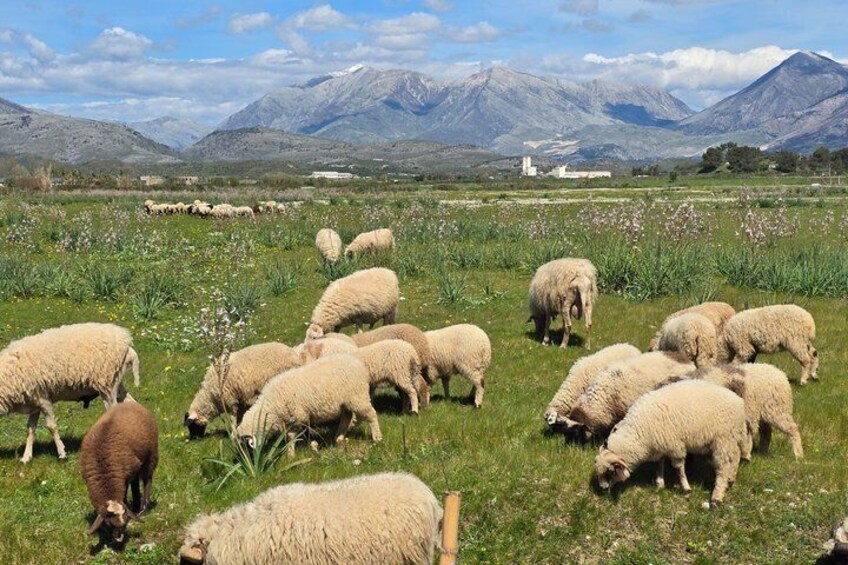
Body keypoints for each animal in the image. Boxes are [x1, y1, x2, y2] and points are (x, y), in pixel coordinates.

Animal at [0, 323, 140, 463]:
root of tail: (126, 342)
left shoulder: (43, 399)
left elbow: (51, 426)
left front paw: (62, 453)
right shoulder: (34, 401)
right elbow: (30, 429)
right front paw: (26, 457)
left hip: (107, 383)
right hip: (116, 382)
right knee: (131, 403)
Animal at [81, 401, 159, 543]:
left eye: (125, 523)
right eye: (109, 523)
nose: (119, 539)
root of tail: (130, 403)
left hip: (152, 454)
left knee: (147, 479)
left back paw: (143, 507)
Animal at [236, 354, 381, 454]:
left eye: (247, 443)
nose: (252, 458)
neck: (271, 405)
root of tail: (358, 363)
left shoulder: (298, 416)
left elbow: (292, 436)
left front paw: (297, 451)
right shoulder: (290, 419)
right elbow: (291, 437)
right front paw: (291, 454)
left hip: (357, 396)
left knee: (371, 414)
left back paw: (377, 437)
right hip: (345, 402)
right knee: (347, 417)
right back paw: (339, 438)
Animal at [595, 379, 750, 506]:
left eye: (610, 471)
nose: (602, 488)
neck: (639, 432)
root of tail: (739, 402)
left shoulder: (675, 445)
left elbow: (678, 467)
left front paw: (686, 488)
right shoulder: (661, 444)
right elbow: (659, 463)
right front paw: (659, 483)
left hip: (723, 439)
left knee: (723, 467)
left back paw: (716, 497)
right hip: (730, 438)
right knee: (735, 455)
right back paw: (731, 480)